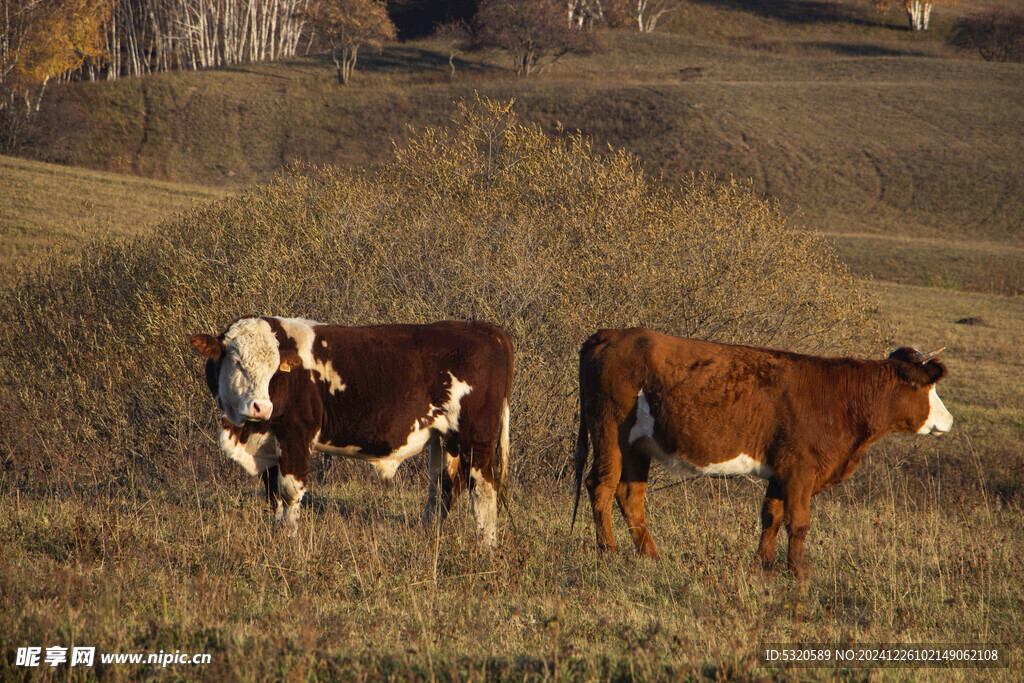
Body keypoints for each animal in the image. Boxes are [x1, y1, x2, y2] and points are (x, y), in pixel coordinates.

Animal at [189, 317, 516, 548]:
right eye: (237, 362)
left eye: (274, 367)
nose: (262, 407)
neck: (245, 429)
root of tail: (482, 328)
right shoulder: (269, 445)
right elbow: (273, 495)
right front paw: (277, 535)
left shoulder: (296, 435)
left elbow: (290, 491)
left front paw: (290, 542)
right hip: (445, 439)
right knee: (443, 488)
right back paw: (426, 539)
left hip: (476, 438)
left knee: (483, 489)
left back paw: (485, 548)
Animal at [569, 329, 950, 577]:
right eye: (927, 387)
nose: (948, 420)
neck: (838, 400)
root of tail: (609, 333)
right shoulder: (800, 470)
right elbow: (798, 523)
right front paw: (798, 572)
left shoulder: (782, 471)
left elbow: (772, 517)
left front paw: (762, 566)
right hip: (610, 434)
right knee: (601, 487)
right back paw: (608, 552)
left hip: (638, 447)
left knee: (629, 495)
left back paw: (650, 556)